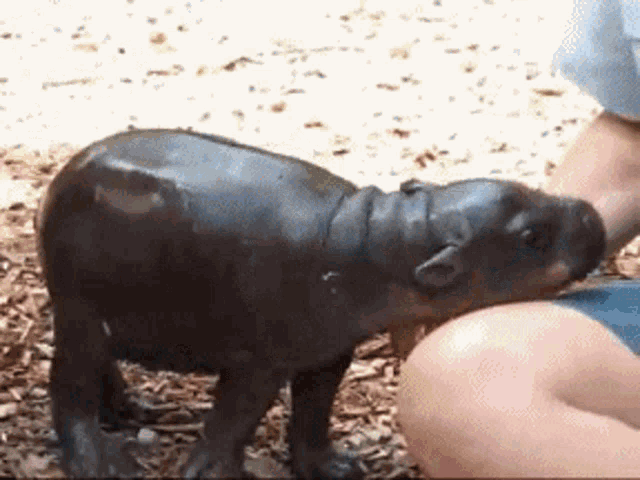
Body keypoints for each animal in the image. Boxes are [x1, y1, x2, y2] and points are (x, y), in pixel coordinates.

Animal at [35, 129, 606, 478]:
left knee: (101, 370)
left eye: (529, 188)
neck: (390, 243)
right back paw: (101, 464)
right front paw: (214, 472)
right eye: (531, 236)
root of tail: (62, 175)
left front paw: (336, 468)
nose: (592, 213)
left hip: (101, 316)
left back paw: (135, 410)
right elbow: (236, 416)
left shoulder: (329, 353)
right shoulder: (260, 360)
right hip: (80, 314)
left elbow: (313, 412)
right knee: (69, 387)